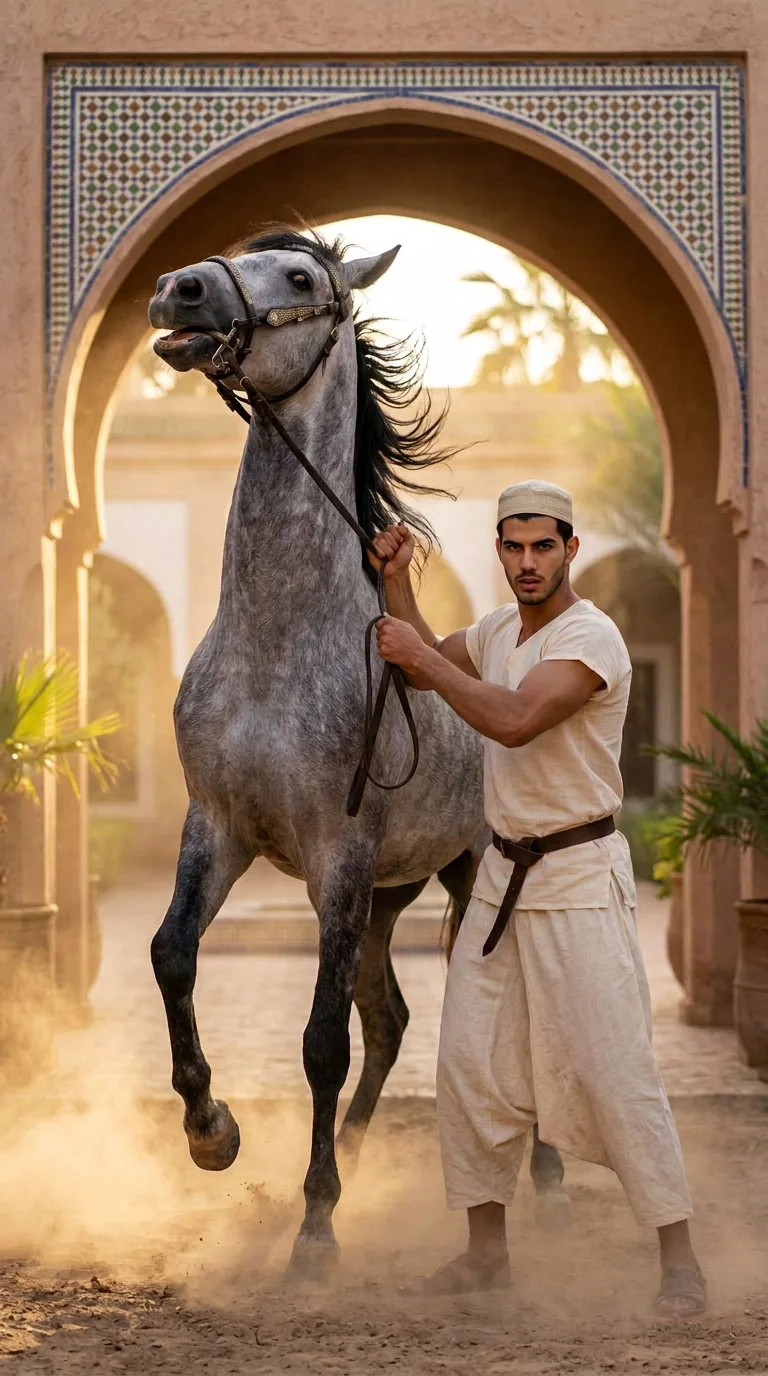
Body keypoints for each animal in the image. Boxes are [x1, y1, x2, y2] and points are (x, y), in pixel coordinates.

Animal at [147, 227, 566, 1278]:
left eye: (300, 277)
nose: (180, 290)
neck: (277, 640)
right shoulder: (221, 830)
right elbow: (173, 956)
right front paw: (212, 1134)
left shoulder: (338, 858)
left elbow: (319, 1044)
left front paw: (314, 1231)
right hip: (390, 893)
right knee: (392, 1019)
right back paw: (360, 1154)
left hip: (463, 877)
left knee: (472, 1017)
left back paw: (542, 1177)